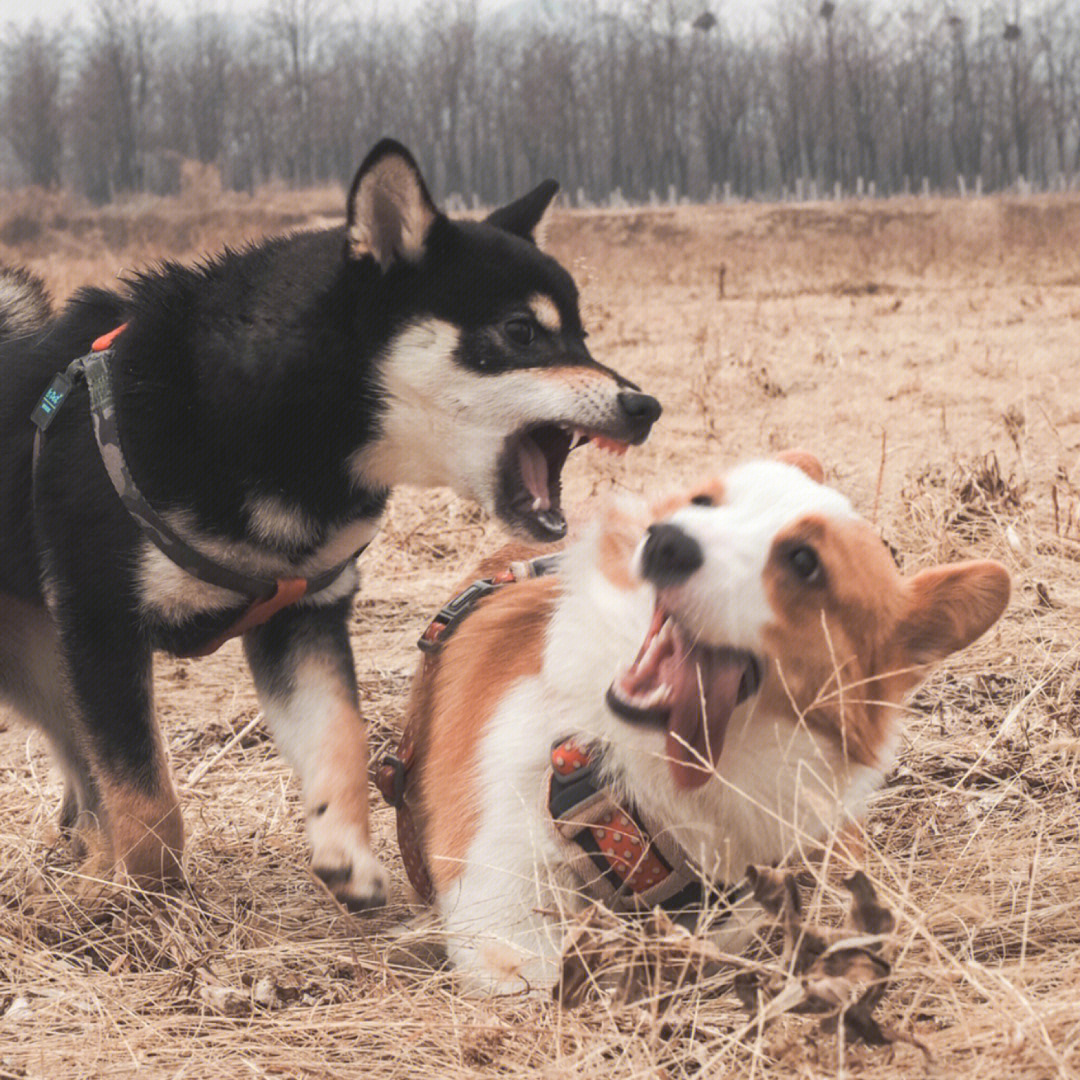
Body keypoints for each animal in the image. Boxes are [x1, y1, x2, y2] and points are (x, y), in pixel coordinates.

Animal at [0, 139, 656, 907]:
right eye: (521, 332)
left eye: (581, 335)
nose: (645, 407)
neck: (270, 419)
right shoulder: (103, 627)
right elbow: (144, 799)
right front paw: (141, 899)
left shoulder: (302, 614)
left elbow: (340, 735)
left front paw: (346, 852)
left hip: (46, 665)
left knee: (80, 777)